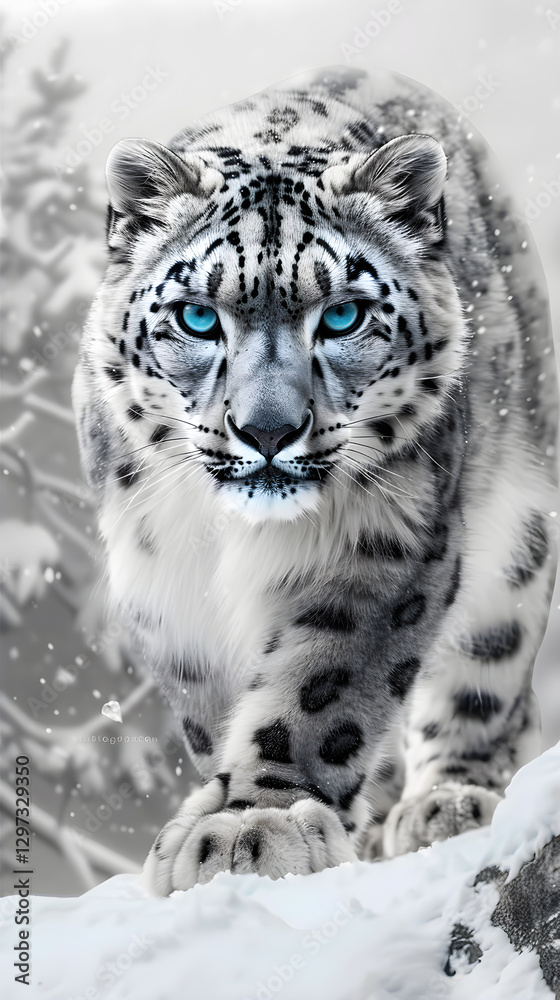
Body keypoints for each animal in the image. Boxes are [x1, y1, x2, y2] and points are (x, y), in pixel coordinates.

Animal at [73, 65, 558, 895]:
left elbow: (320, 690)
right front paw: (219, 816)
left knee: (490, 673)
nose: (267, 431)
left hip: (521, 534)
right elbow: (214, 709)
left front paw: (256, 824)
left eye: (341, 317)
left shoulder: (387, 544)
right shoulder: (162, 579)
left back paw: (450, 800)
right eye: (198, 317)